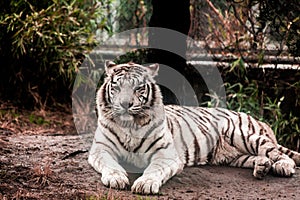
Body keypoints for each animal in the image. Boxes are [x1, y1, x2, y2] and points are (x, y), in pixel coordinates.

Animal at [88, 61, 298, 194]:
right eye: (116, 87)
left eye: (138, 87)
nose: (125, 104)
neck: (130, 125)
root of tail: (260, 121)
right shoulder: (101, 149)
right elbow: (109, 164)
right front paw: (116, 178)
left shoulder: (166, 154)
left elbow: (155, 168)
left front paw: (145, 184)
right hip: (235, 157)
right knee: (258, 157)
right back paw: (262, 167)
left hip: (243, 134)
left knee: (279, 154)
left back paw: (282, 167)